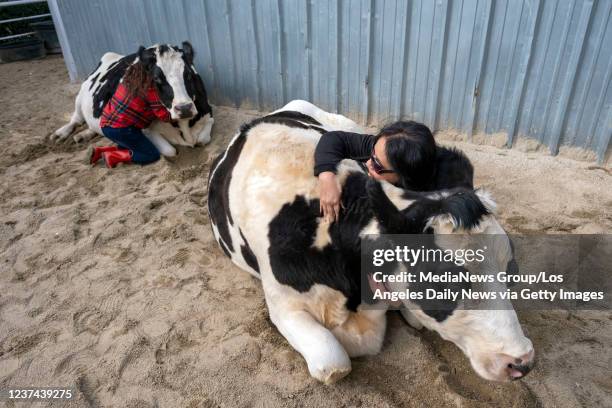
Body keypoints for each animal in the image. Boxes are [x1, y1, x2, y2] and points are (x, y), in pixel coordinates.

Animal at [50, 41, 214, 156]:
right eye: (156, 79)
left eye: (189, 74)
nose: (184, 108)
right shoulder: (145, 131)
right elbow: (170, 151)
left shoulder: (208, 113)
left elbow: (203, 139)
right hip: (80, 96)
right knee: (76, 119)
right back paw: (61, 133)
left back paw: (83, 135)